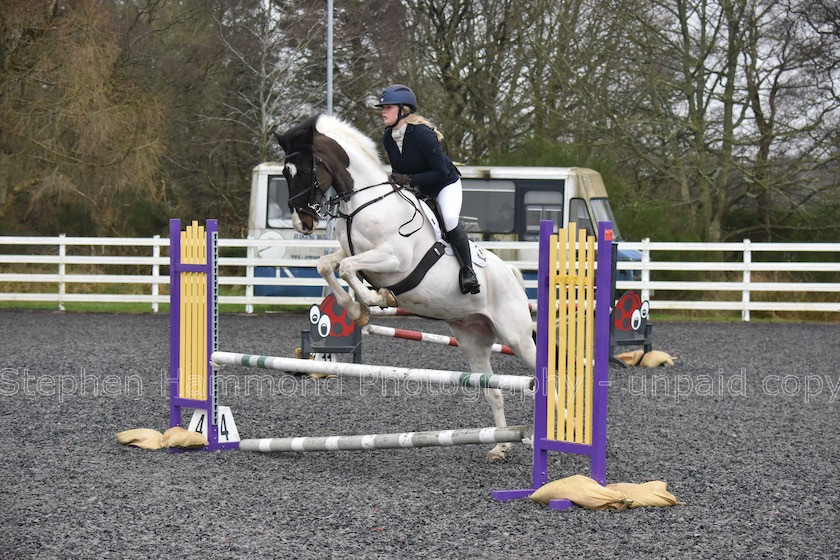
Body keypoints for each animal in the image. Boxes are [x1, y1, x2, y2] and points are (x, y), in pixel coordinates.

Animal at [276, 112, 540, 460]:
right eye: (285, 172)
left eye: (306, 170)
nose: (302, 223)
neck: (363, 200)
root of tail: (510, 273)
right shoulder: (352, 252)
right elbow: (329, 265)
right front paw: (358, 311)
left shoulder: (395, 258)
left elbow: (348, 269)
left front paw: (378, 298)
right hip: (473, 339)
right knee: (494, 391)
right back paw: (500, 446)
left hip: (516, 337)